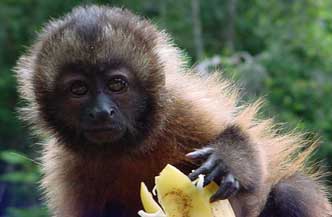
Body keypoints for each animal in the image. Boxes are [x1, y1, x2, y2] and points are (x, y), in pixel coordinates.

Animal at [14, 4, 332, 217]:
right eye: (79, 90)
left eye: (117, 85)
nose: (101, 112)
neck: (128, 148)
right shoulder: (65, 166)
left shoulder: (181, 109)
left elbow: (253, 153)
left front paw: (227, 160)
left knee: (291, 191)